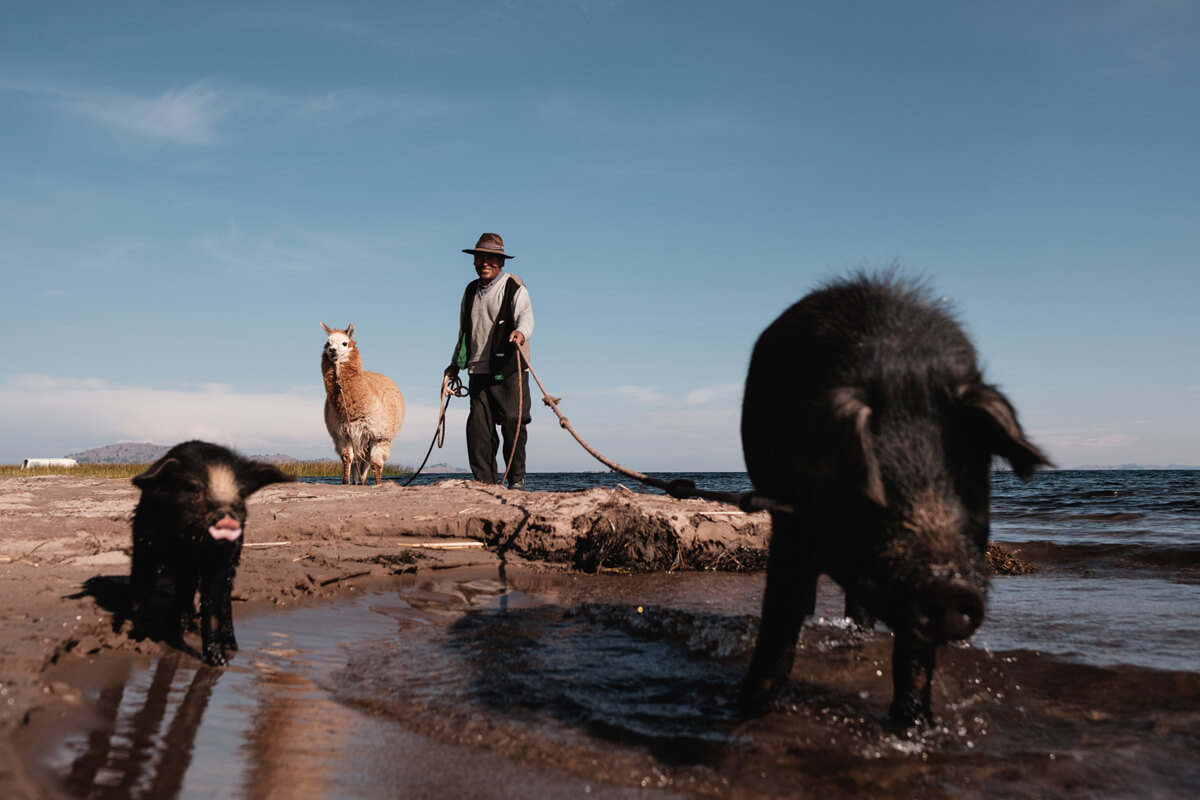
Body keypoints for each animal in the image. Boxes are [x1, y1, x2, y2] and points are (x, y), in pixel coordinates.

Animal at [130, 441, 294, 666]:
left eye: (240, 494)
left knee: (223, 599)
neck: (186, 542)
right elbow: (142, 587)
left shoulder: (220, 559)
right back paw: (182, 625)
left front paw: (218, 661)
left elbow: (211, 604)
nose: (227, 518)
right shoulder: (144, 543)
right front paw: (136, 636)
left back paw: (231, 645)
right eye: (194, 488)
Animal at [734, 273, 1046, 724]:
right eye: (877, 485)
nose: (949, 589)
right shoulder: (788, 516)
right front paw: (746, 711)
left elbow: (914, 658)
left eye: (969, 480)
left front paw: (916, 726)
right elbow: (781, 617)